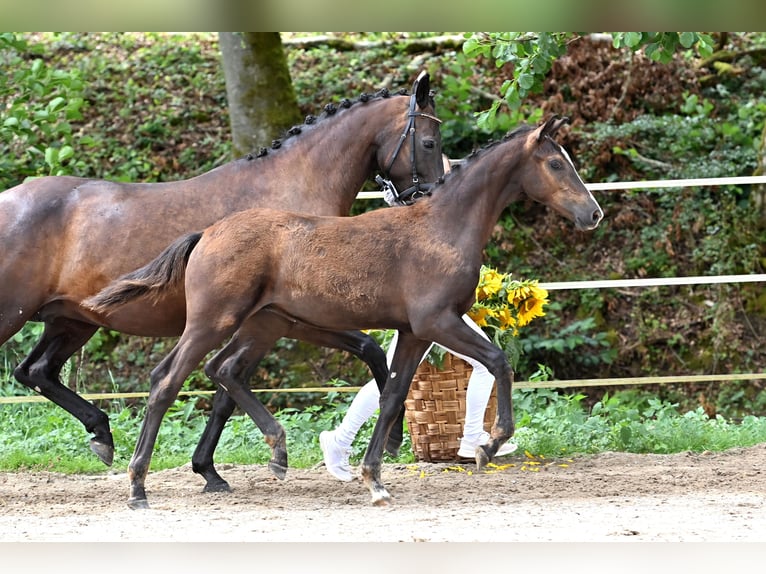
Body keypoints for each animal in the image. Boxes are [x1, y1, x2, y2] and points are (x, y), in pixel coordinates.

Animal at [0, 70, 444, 488]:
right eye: (429, 143)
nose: (432, 199)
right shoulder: (285, 320)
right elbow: (365, 351)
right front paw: (392, 438)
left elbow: (225, 390)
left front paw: (208, 470)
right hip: (18, 316)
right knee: (34, 372)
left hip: (72, 320)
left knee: (35, 371)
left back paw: (102, 434)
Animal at [87, 116, 608, 508]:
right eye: (556, 163)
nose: (594, 214)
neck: (442, 226)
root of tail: (207, 233)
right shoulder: (438, 322)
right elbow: (499, 362)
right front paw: (489, 444)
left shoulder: (416, 333)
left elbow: (394, 395)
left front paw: (374, 478)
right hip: (213, 322)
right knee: (166, 380)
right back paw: (138, 487)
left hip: (263, 322)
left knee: (224, 371)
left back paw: (272, 454)